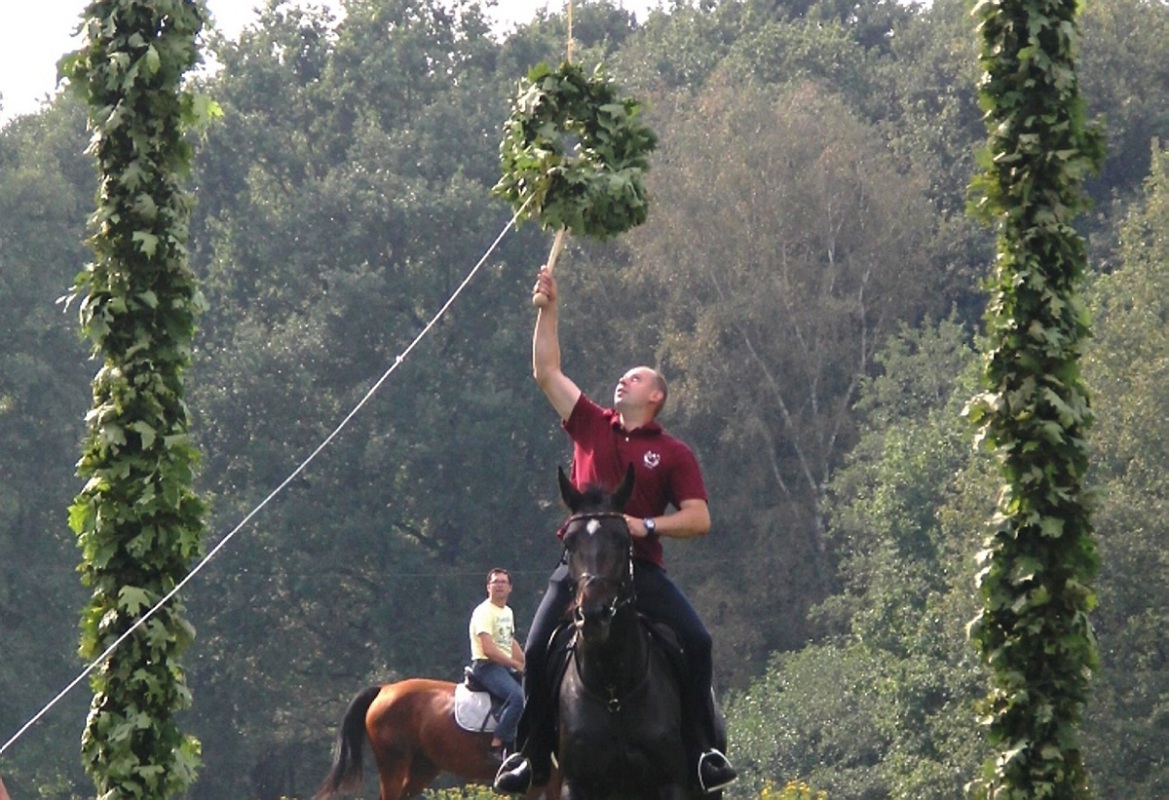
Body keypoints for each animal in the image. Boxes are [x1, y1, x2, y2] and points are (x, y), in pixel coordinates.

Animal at [551, 467, 696, 799]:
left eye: (621, 539)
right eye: (570, 542)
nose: (593, 614)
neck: (612, 689)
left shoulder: (670, 783)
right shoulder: (573, 784)